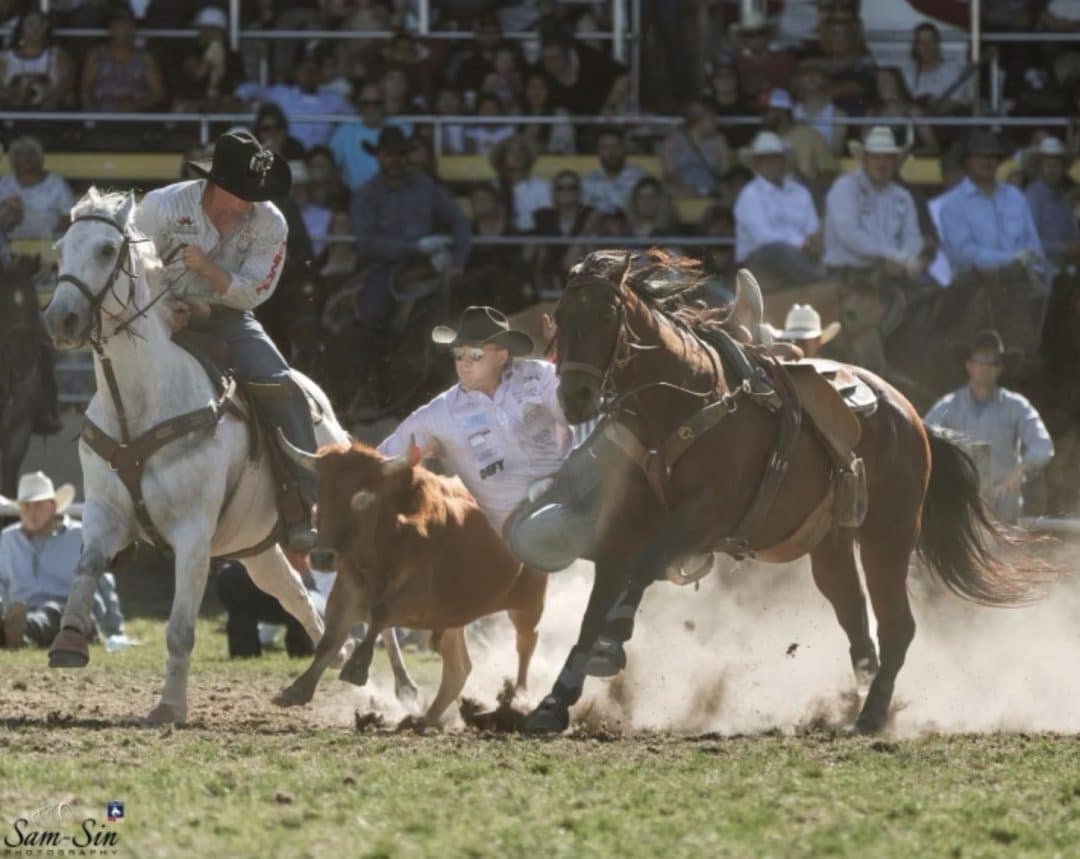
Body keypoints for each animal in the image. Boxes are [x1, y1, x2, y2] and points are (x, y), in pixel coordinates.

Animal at [42, 190, 414, 726]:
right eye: (59, 249)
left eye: (107, 250)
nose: (62, 320)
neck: (139, 401)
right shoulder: (103, 513)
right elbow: (87, 566)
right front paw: (69, 643)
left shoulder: (193, 533)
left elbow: (180, 629)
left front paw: (169, 707)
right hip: (260, 550)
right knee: (296, 595)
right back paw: (327, 669)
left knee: (374, 603)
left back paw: (402, 688)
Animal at [527, 250, 1041, 739]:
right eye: (561, 314)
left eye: (608, 315)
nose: (575, 396)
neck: (681, 400)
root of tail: (910, 414)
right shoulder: (625, 525)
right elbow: (596, 604)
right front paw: (554, 701)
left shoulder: (701, 519)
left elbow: (643, 570)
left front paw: (610, 646)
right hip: (831, 545)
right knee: (855, 616)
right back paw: (855, 698)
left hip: (888, 534)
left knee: (897, 625)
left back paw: (872, 714)